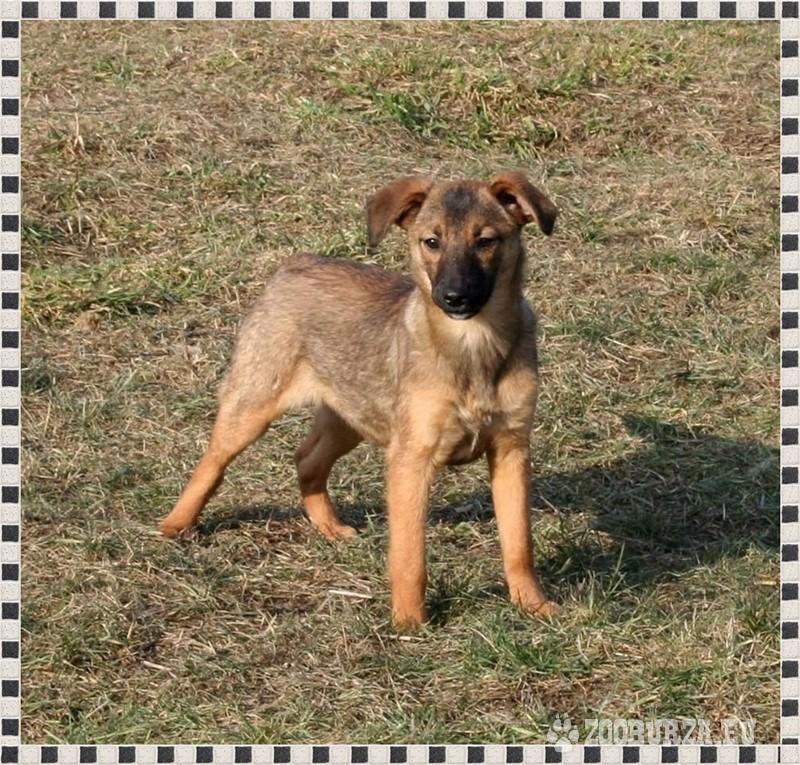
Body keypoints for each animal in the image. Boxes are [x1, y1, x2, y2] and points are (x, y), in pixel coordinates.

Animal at [159, 171, 559, 629]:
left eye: (486, 241)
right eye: (431, 242)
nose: (454, 297)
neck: (474, 346)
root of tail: (296, 264)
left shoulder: (511, 451)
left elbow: (519, 542)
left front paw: (532, 604)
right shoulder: (411, 458)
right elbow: (409, 553)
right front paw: (409, 621)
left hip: (350, 414)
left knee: (307, 459)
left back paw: (329, 527)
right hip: (255, 403)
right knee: (213, 463)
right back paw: (176, 524)